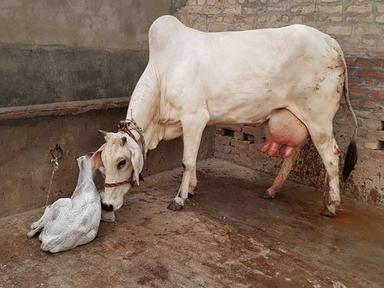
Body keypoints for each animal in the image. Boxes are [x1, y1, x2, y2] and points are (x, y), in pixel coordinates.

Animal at [91, 15, 358, 216]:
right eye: (103, 163)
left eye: (122, 162)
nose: (107, 205)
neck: (163, 73)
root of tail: (330, 41)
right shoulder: (190, 123)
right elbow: (192, 158)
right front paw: (192, 188)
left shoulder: (194, 117)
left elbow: (187, 161)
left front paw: (179, 198)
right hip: (299, 118)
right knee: (293, 155)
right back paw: (273, 191)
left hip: (319, 119)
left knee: (332, 157)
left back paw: (331, 205)